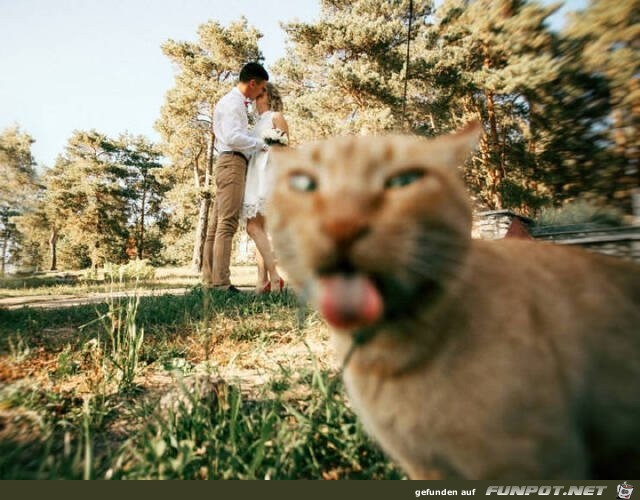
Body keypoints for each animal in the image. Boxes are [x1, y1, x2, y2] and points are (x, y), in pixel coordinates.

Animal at [268, 123, 640, 478]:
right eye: (303, 183)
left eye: (404, 181)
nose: (342, 224)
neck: (390, 356)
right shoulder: (425, 469)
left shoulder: (534, 464)